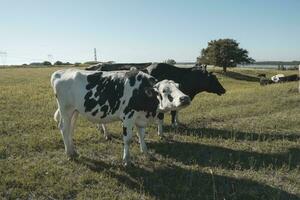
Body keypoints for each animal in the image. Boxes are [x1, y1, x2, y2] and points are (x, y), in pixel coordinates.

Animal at [50, 68, 189, 165]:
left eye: (178, 86)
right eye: (164, 91)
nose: (185, 98)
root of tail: (61, 72)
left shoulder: (140, 118)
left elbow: (141, 136)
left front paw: (146, 153)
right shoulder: (128, 118)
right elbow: (127, 139)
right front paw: (127, 160)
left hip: (75, 111)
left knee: (70, 129)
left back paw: (73, 150)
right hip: (65, 109)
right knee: (64, 129)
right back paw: (69, 153)